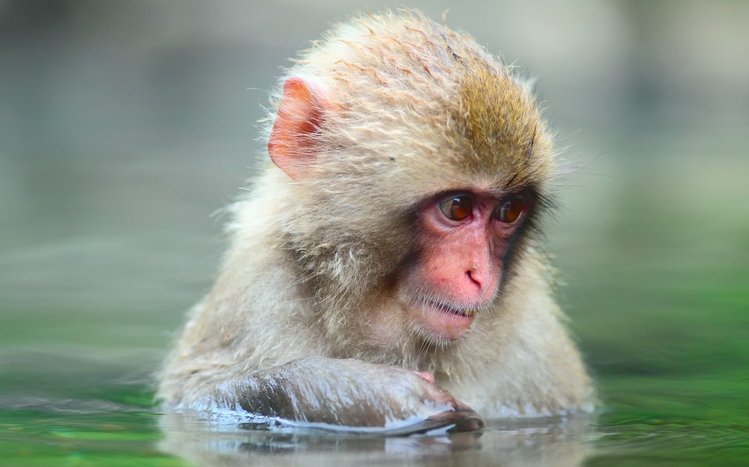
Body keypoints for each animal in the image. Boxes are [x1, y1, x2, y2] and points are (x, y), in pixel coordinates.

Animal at [158, 10, 594, 434]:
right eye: (457, 207)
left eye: (509, 211)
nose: (480, 276)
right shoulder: (254, 291)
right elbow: (201, 393)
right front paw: (370, 391)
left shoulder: (536, 346)